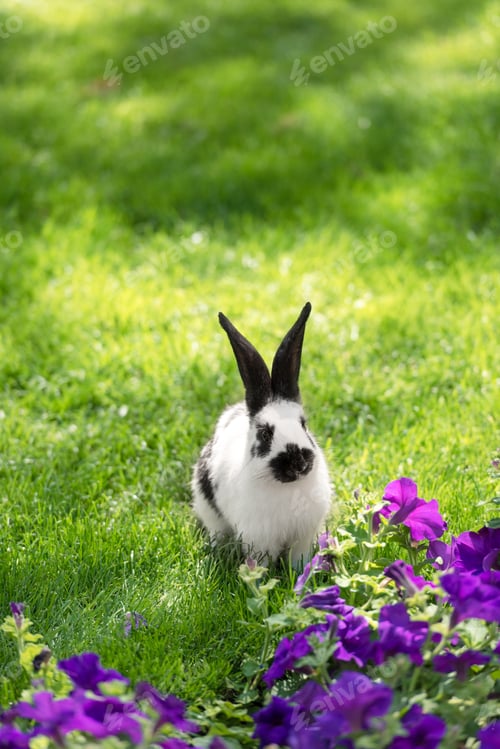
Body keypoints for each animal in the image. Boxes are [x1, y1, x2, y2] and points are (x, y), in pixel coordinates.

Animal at [192, 302, 332, 567]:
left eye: (303, 425)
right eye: (265, 433)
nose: (298, 462)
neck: (287, 487)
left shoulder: (303, 537)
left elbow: (298, 559)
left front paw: (301, 573)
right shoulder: (259, 539)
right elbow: (260, 562)